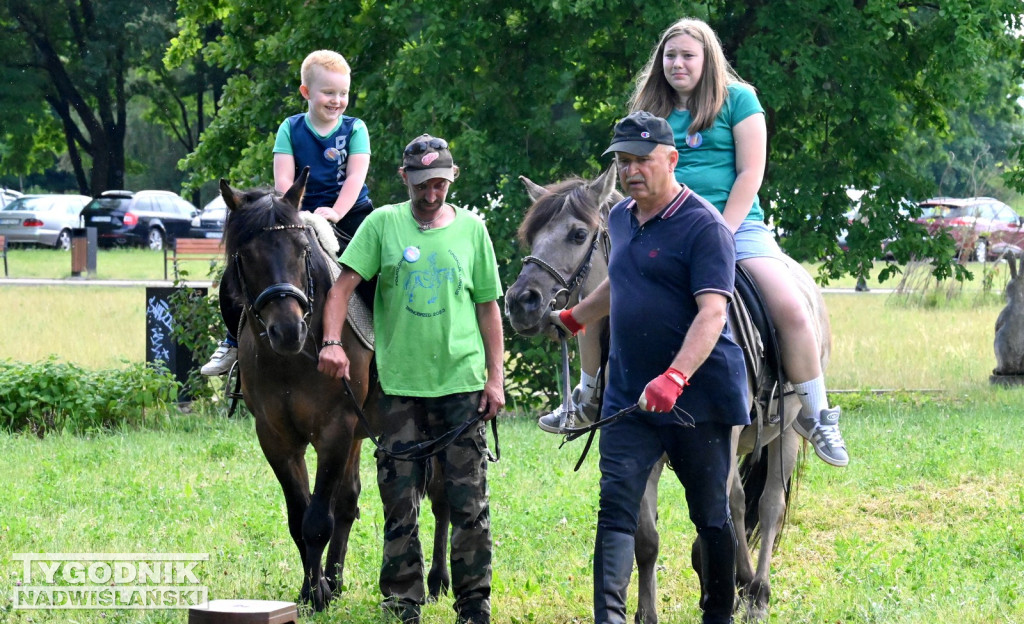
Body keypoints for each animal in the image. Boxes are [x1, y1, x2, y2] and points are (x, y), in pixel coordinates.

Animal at [220, 173, 448, 610]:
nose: (288, 329)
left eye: (302, 250)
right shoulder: (276, 438)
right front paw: (315, 589)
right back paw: (337, 579)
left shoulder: (335, 429)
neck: (294, 359)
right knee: (348, 500)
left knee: (444, 498)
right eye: (247, 255)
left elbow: (316, 520)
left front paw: (317, 594)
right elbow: (300, 516)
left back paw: (439, 580)